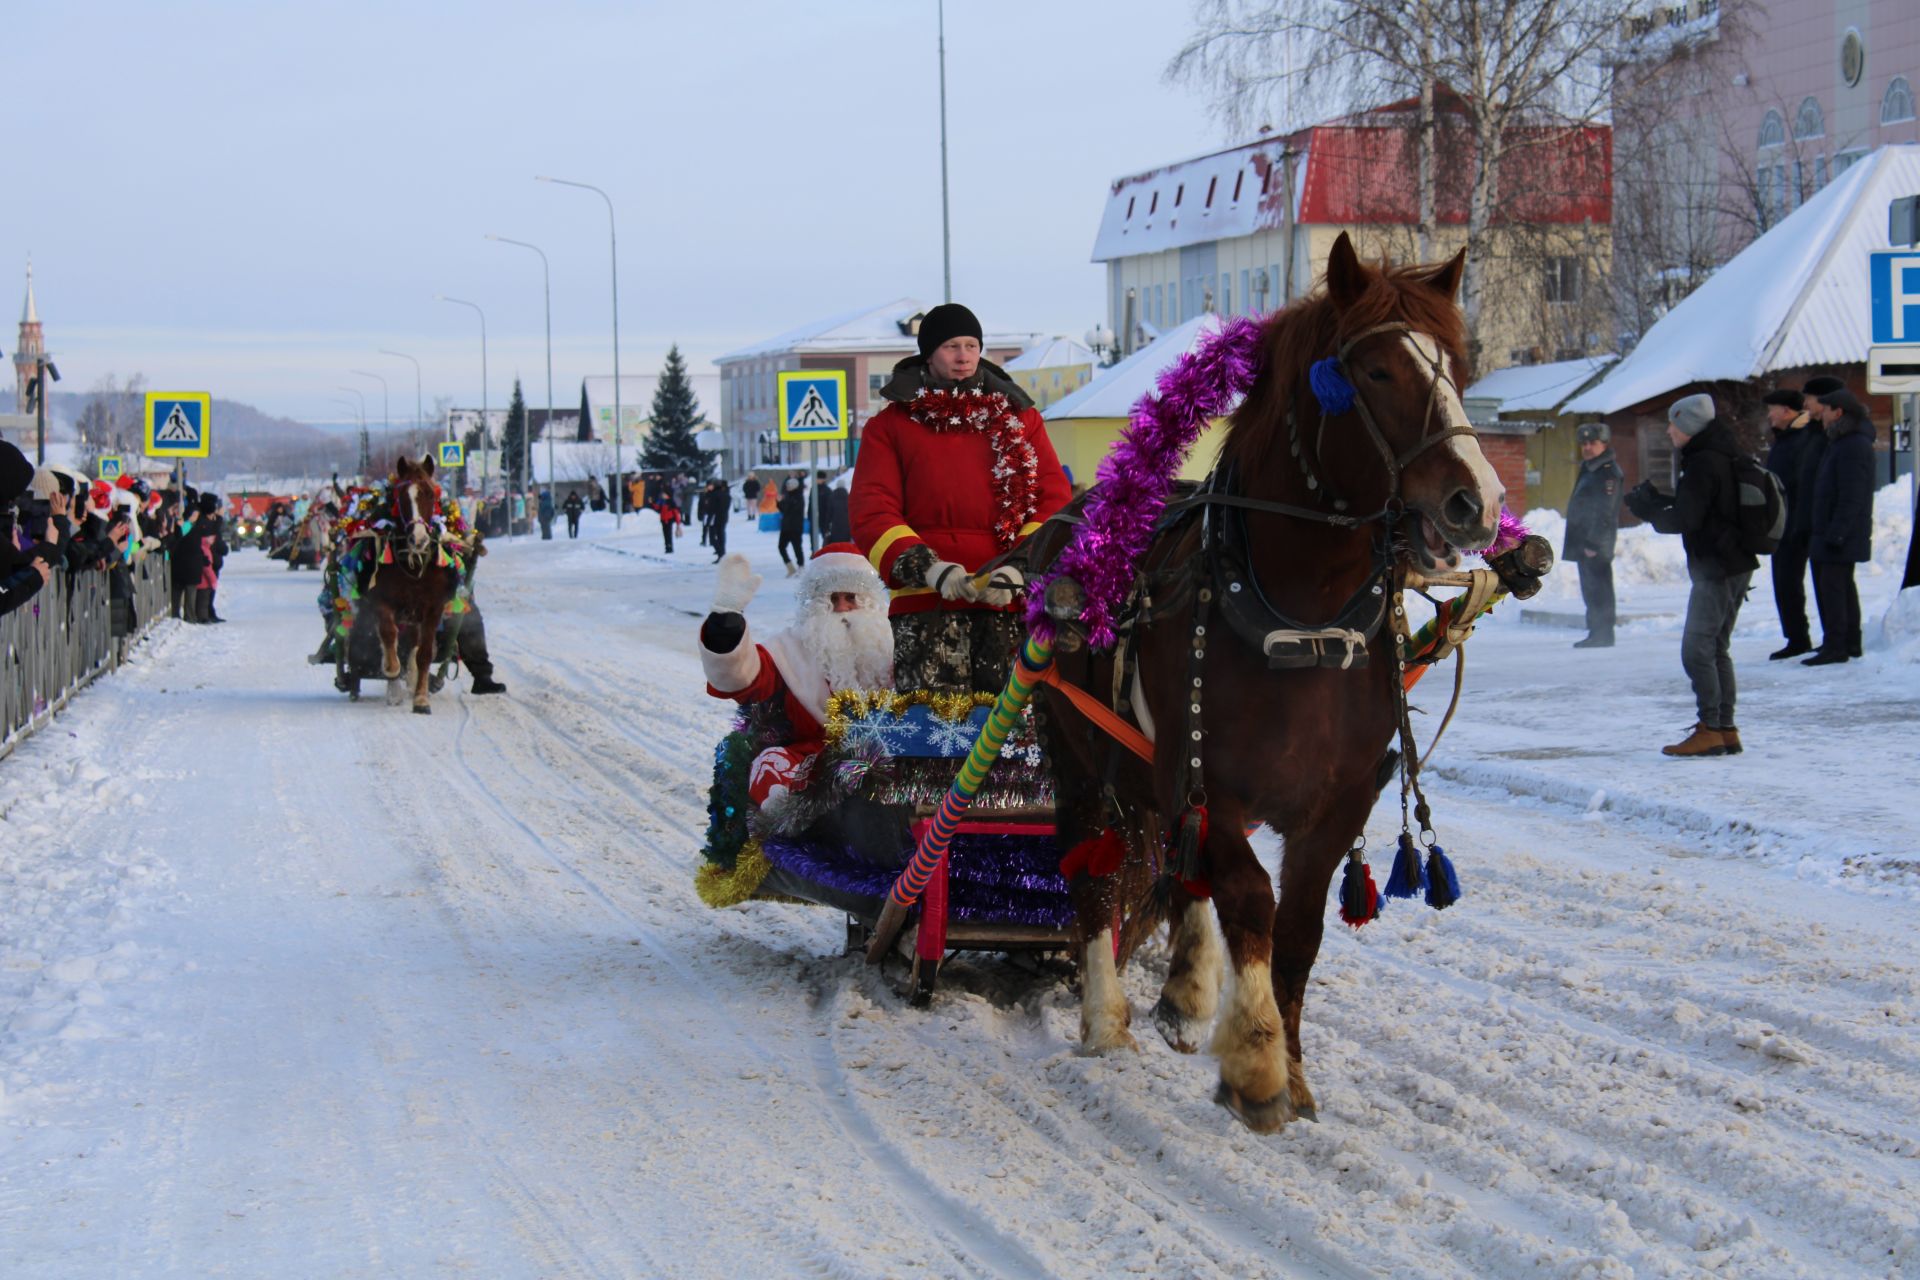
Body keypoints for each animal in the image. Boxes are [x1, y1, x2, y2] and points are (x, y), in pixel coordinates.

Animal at [359, 454, 455, 717]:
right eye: (401, 496)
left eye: (430, 494)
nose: (419, 538)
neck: (413, 564)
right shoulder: (382, 602)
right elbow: (389, 638)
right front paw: (393, 687)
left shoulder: (433, 607)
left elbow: (424, 653)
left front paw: (421, 698)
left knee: (413, 644)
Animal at [1036, 230, 1497, 1128]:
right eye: (1376, 371)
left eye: (1457, 364)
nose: (1478, 500)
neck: (1300, 621)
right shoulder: (1206, 782)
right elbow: (1251, 899)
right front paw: (1254, 1063)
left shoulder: (1335, 803)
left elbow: (1300, 929)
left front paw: (1289, 1061)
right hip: (1078, 756)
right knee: (1096, 870)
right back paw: (1107, 1019)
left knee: (1178, 868)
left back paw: (1184, 992)